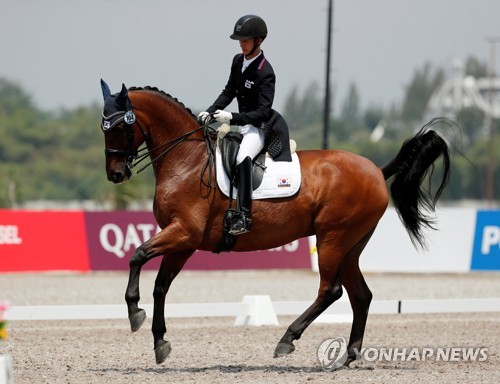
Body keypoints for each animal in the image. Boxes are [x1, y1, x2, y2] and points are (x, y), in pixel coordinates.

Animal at [99, 80, 452, 366]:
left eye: (117, 127)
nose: (115, 174)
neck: (187, 161)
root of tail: (377, 170)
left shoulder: (183, 232)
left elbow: (137, 255)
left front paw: (134, 311)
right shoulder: (182, 240)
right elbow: (161, 286)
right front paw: (160, 342)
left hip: (332, 238)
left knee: (331, 290)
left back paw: (287, 339)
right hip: (351, 246)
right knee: (361, 296)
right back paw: (347, 358)